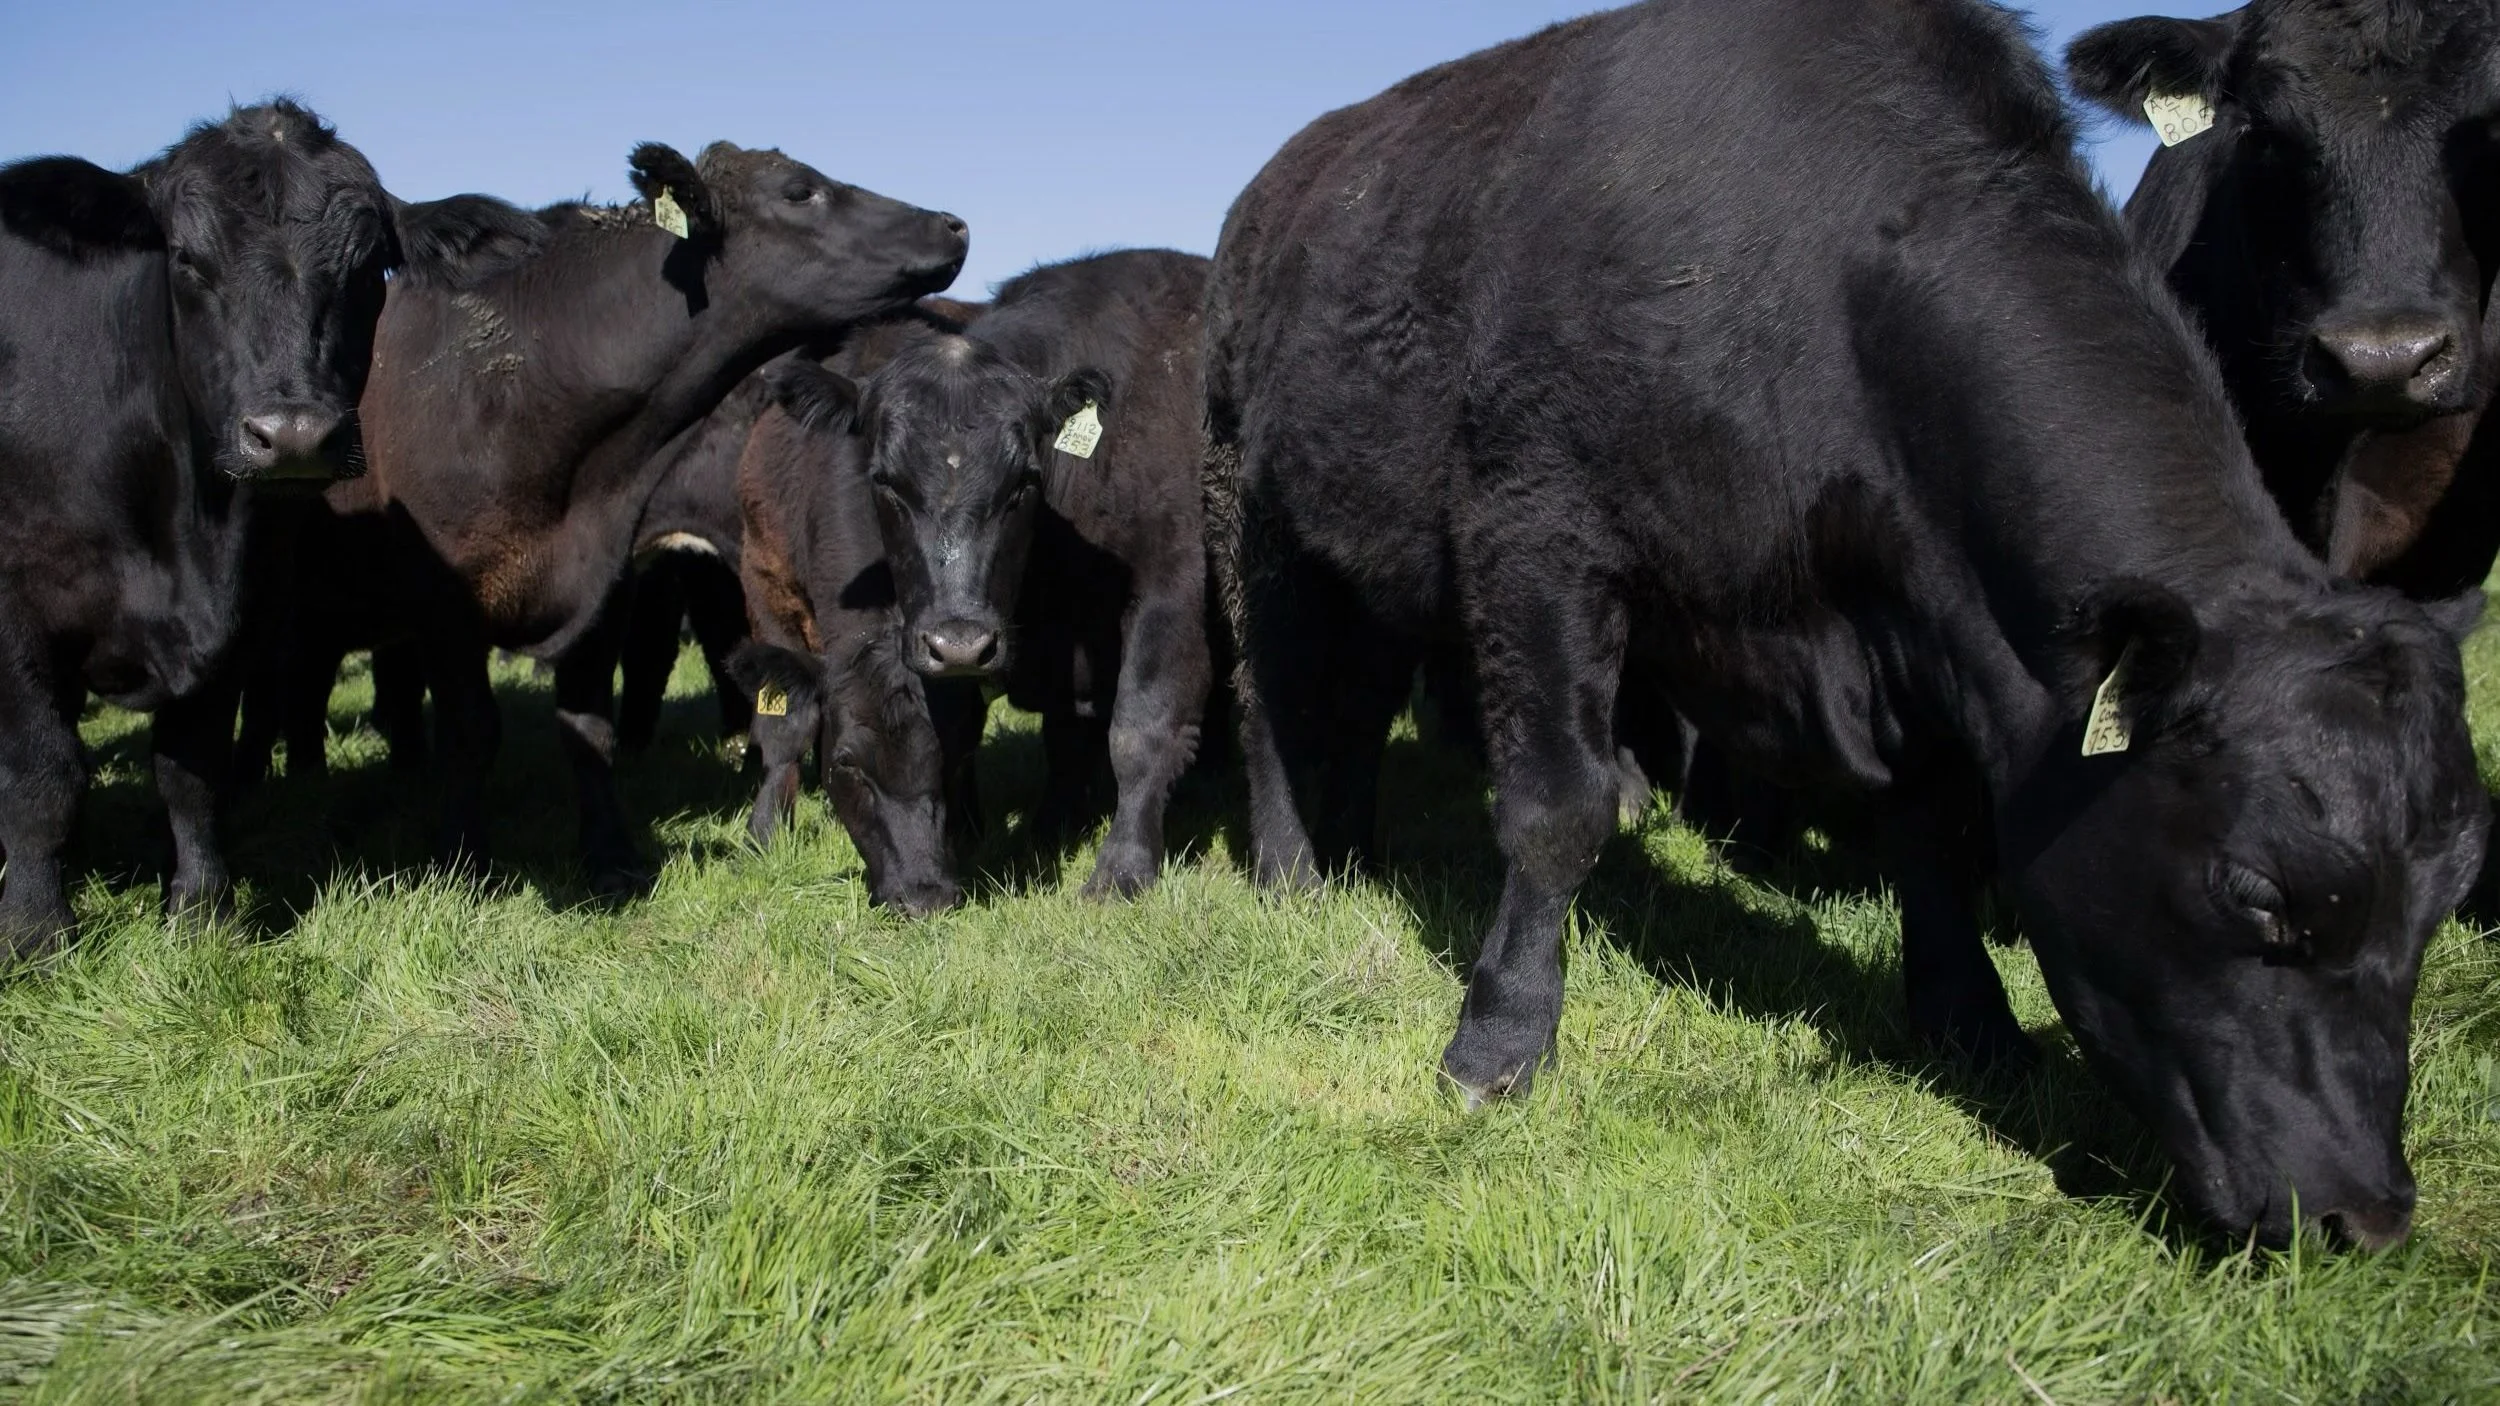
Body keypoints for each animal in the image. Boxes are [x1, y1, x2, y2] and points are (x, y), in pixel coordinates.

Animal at [0, 101, 523, 953]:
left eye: (369, 268)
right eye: (185, 258)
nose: (294, 435)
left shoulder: (239, 620)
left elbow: (192, 769)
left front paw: (202, 911)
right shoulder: (15, 612)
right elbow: (42, 775)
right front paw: (36, 933)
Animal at [239, 143, 967, 892]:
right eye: (800, 191)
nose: (953, 225)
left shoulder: (608, 586)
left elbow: (589, 727)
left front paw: (611, 855)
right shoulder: (447, 606)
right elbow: (472, 729)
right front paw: (464, 858)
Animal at [791, 250, 1217, 898]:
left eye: (1024, 481)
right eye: (885, 481)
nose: (960, 645)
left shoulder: (1175, 589)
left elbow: (1141, 730)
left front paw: (1122, 869)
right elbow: (1061, 737)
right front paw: (1047, 830)